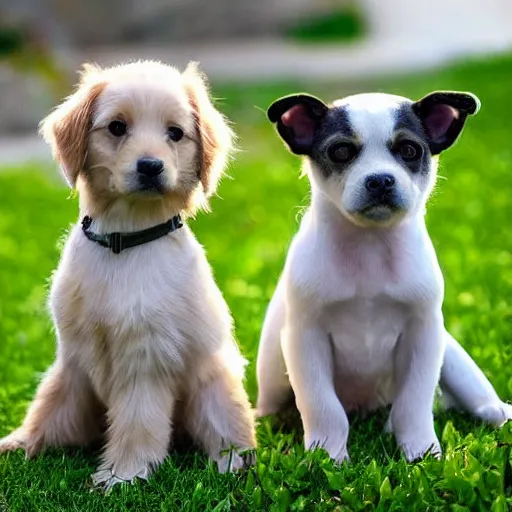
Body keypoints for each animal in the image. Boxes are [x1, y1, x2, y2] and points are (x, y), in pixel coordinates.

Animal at [0, 60, 256, 488]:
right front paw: (21, 444)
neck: (126, 240)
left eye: (175, 133)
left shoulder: (146, 359)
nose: (151, 166)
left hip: (214, 385)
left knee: (228, 432)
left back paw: (233, 463)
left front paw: (123, 475)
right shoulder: (74, 358)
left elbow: (139, 422)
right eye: (117, 127)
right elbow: (50, 406)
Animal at [256, 90, 512, 462]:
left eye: (409, 150)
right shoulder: (306, 340)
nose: (380, 180)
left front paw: (420, 451)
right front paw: (327, 456)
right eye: (341, 151)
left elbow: (414, 404)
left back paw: (496, 411)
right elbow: (323, 407)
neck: (370, 246)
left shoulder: (423, 336)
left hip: (451, 353)